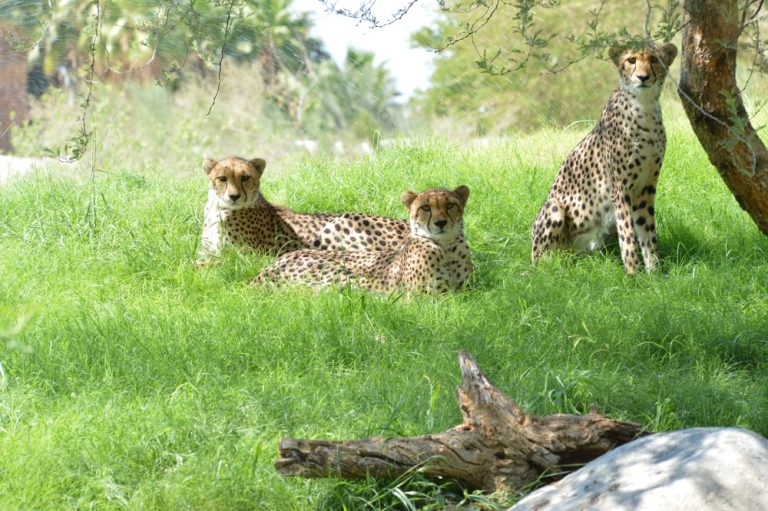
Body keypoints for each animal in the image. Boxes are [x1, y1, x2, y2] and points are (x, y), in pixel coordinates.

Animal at [201, 156, 412, 260]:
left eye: (245, 178)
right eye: (222, 178)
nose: (234, 196)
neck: (217, 209)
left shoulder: (242, 258)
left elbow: (202, 265)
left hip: (342, 222)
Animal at [252, 186, 472, 294]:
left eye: (450, 205)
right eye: (426, 207)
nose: (441, 223)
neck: (446, 248)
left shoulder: (464, 292)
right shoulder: (422, 297)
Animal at [532, 43, 676, 274]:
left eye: (654, 59)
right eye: (631, 60)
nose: (643, 77)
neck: (643, 106)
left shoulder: (645, 189)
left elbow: (647, 233)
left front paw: (654, 272)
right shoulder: (621, 189)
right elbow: (627, 234)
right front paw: (634, 273)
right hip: (554, 208)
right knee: (543, 263)